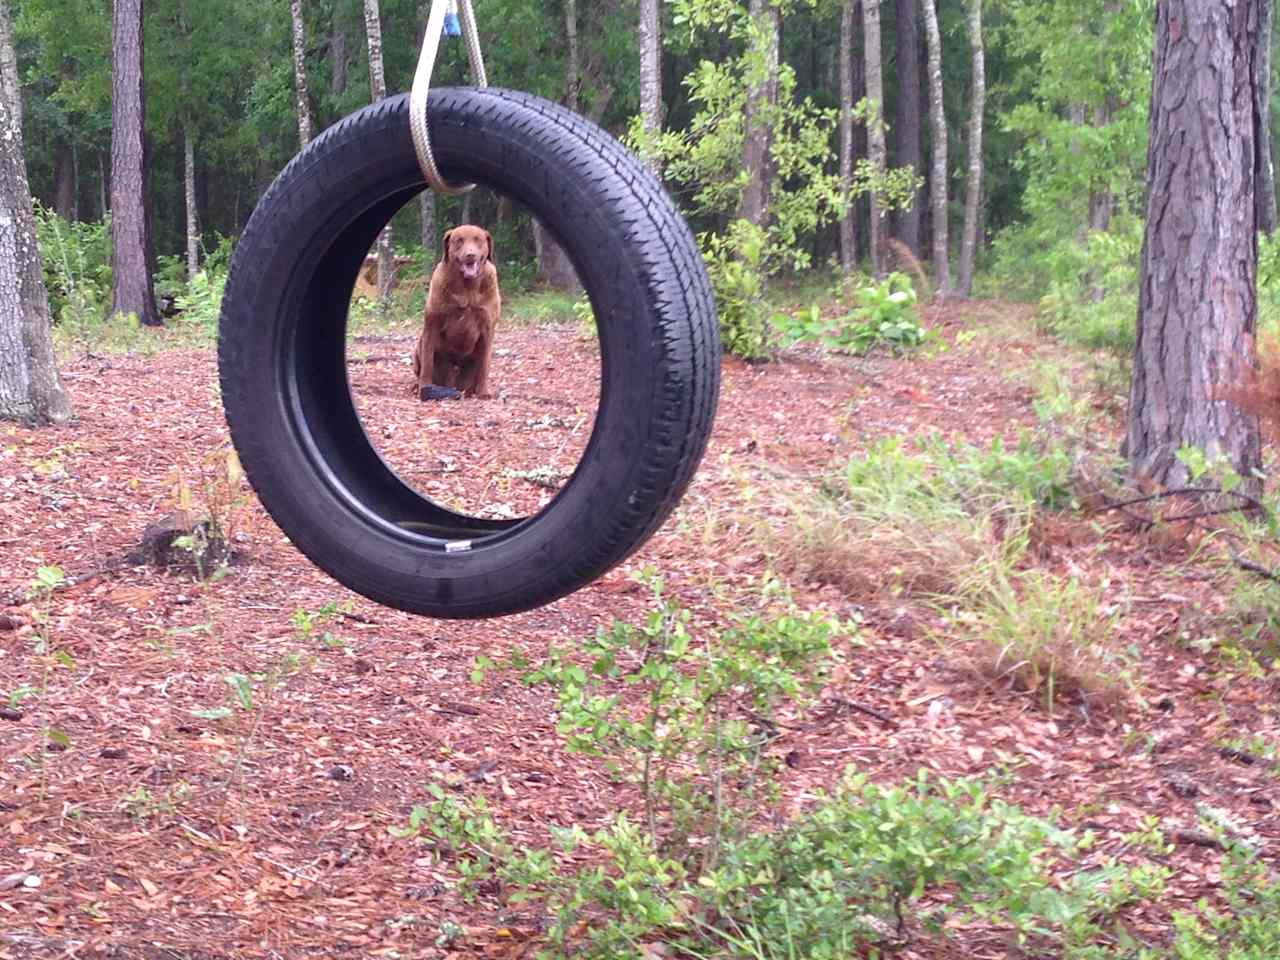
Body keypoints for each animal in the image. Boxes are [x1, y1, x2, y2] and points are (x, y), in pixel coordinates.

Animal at [417, 225, 501, 399]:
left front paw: (484, 392)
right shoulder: (431, 326)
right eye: (459, 240)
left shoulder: (487, 329)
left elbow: (483, 366)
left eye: (478, 240)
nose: (470, 255)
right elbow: (427, 362)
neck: (467, 289)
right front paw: (424, 388)